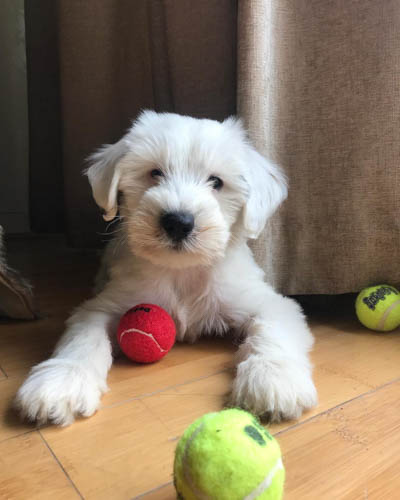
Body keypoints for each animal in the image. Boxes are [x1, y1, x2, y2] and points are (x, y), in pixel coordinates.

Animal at [14, 112, 316, 426]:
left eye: (217, 182)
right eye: (155, 173)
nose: (178, 222)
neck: (181, 272)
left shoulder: (268, 303)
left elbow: (273, 332)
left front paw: (274, 378)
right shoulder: (101, 308)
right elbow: (83, 340)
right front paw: (62, 380)